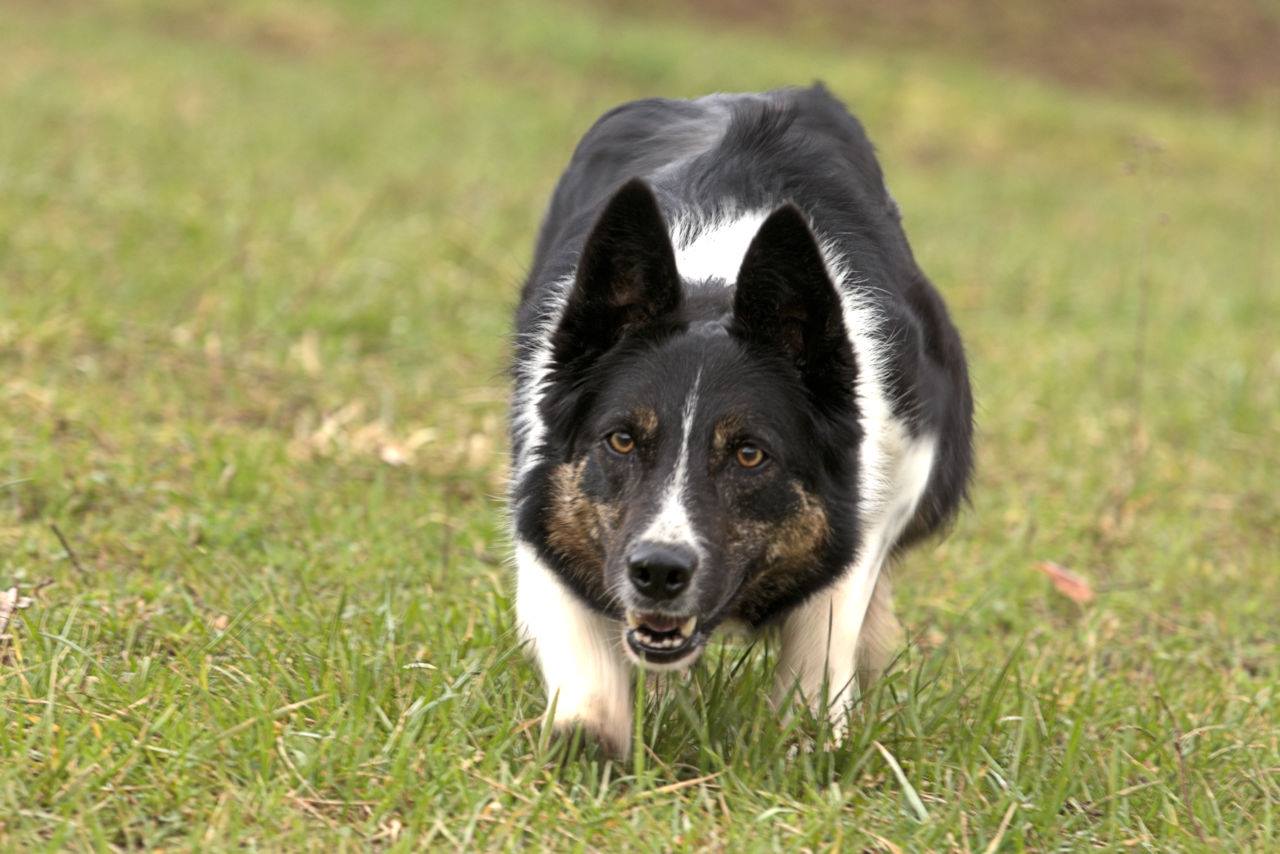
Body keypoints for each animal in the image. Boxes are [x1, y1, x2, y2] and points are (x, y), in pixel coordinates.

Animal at [509, 84, 973, 756]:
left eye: (750, 454)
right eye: (621, 440)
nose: (658, 572)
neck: (716, 285)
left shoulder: (892, 474)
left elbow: (826, 627)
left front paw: (807, 736)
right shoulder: (542, 497)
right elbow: (588, 694)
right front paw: (594, 737)